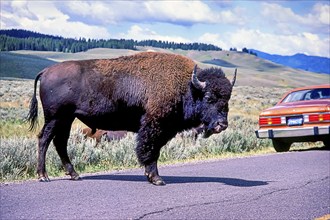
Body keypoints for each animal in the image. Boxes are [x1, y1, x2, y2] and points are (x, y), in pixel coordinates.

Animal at [27, 52, 236, 186]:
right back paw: (43, 176)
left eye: (227, 99)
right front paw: (156, 179)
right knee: (44, 139)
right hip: (55, 118)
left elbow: (153, 151)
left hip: (67, 119)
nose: (222, 125)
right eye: (208, 97)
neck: (188, 86)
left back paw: (74, 175)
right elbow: (150, 151)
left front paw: (151, 176)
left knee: (60, 142)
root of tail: (46, 71)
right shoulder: (153, 127)